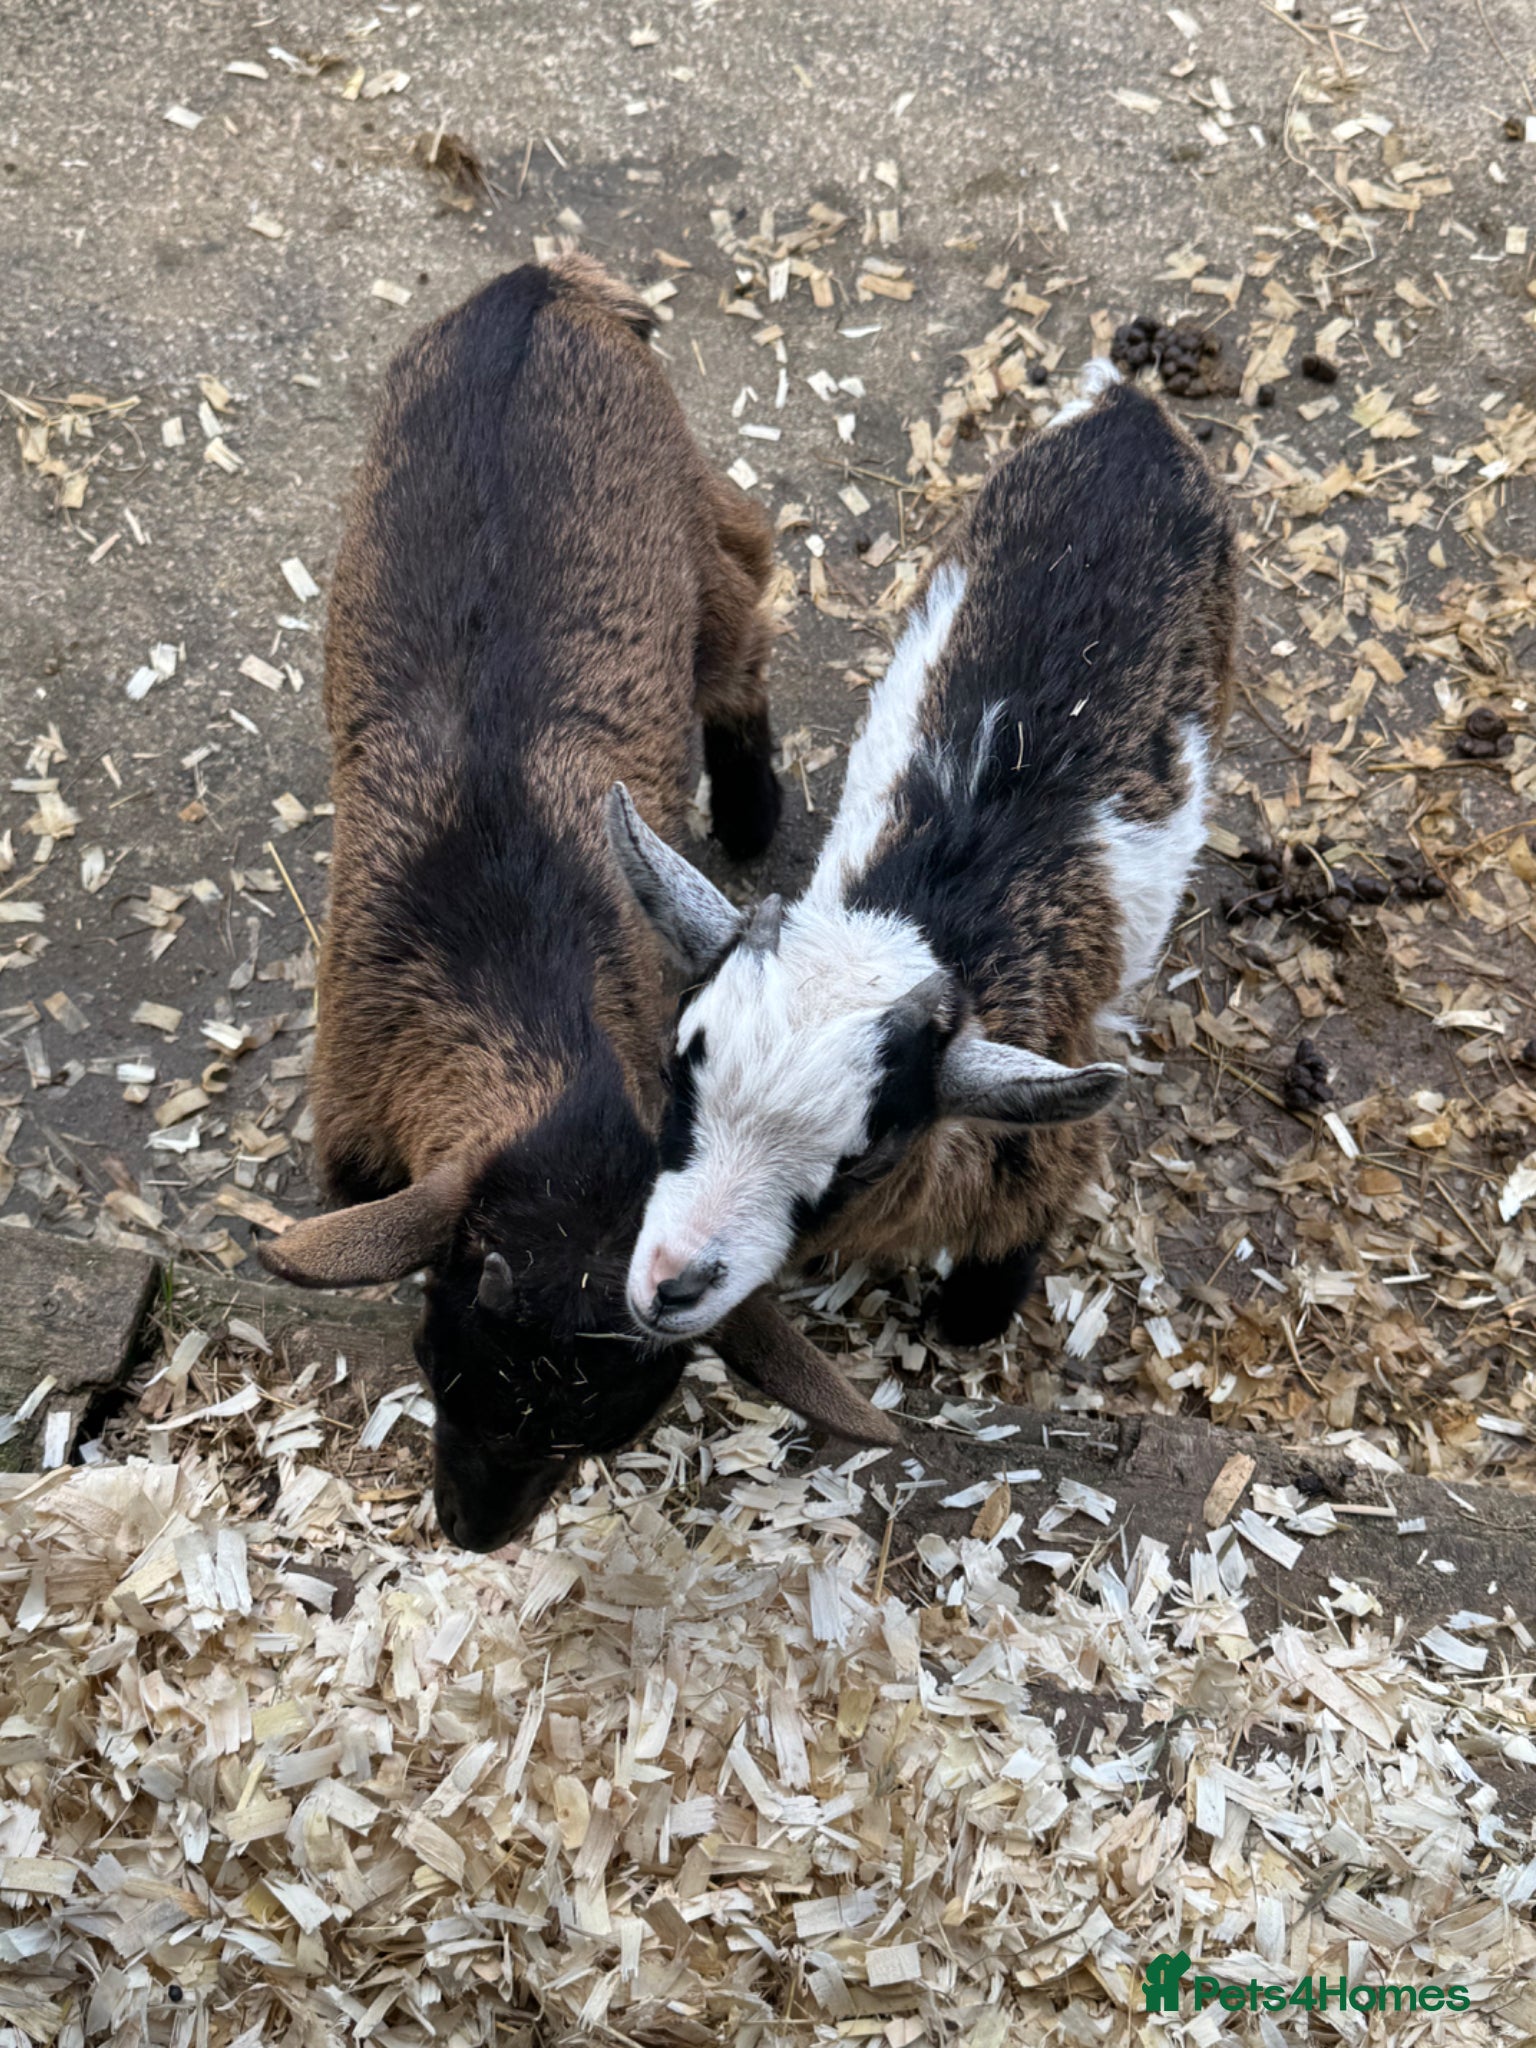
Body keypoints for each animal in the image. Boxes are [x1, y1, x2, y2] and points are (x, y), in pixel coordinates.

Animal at [259, 258, 896, 1553]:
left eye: (606, 1430)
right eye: (434, 1360)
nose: (469, 1531)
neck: (506, 955)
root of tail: (540, 284)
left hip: (697, 530)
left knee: (741, 640)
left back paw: (748, 808)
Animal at [610, 358, 1238, 1351]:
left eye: (862, 1152)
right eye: (681, 1065)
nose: (669, 1286)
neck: (922, 907)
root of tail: (1131, 410)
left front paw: (971, 1320)